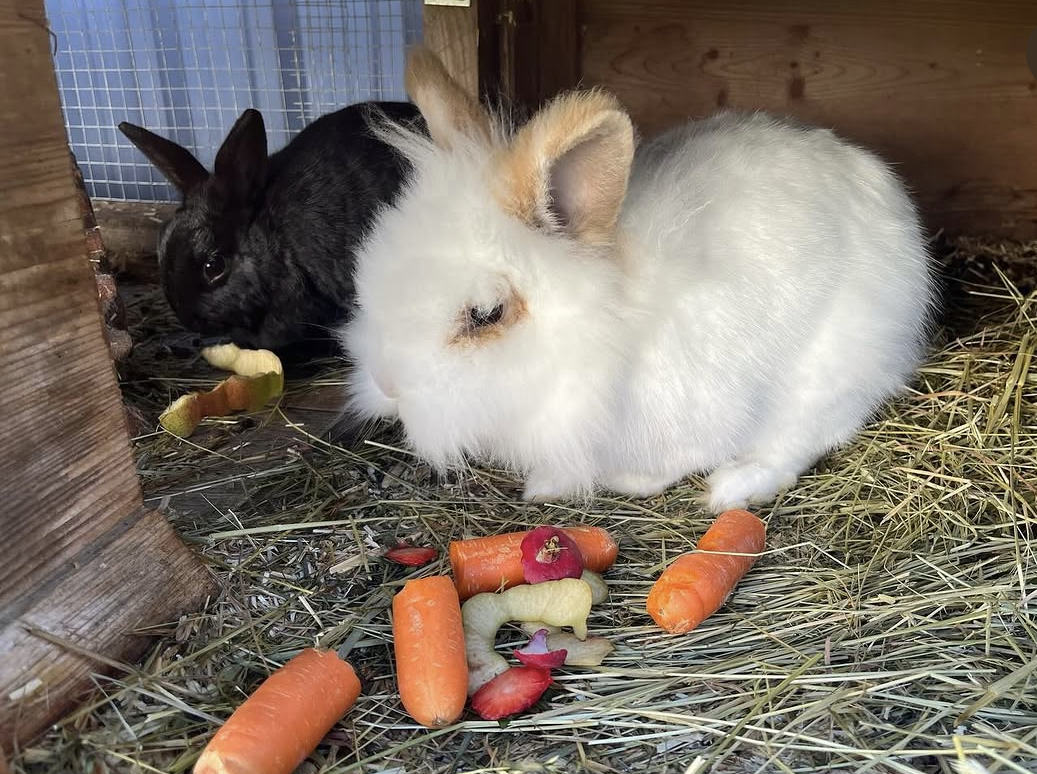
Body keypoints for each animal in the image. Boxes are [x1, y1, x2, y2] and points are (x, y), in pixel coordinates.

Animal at [337, 47, 939, 513]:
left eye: (487, 314)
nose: (388, 385)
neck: (596, 339)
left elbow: (669, 464)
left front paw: (628, 483)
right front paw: (544, 488)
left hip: (826, 375)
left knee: (797, 443)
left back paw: (733, 487)